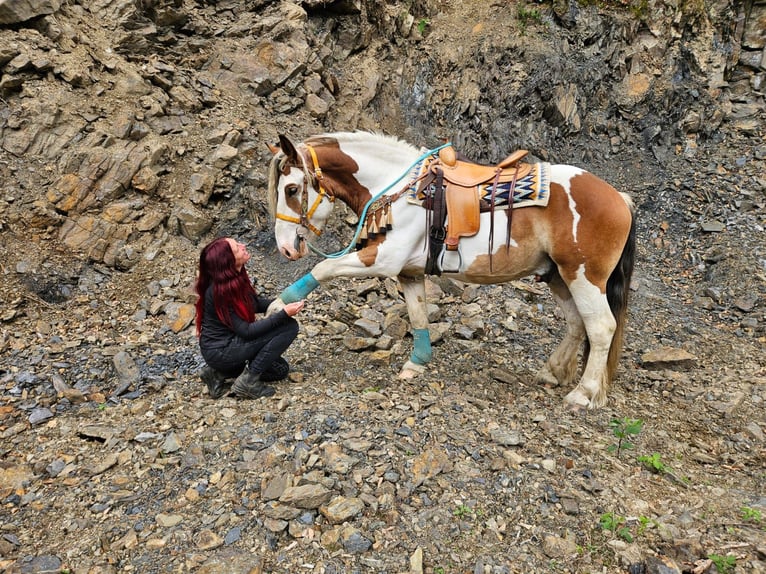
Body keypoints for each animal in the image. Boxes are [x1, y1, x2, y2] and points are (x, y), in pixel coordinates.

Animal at [265, 131, 635, 409]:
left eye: (292, 189)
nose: (286, 248)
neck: (398, 190)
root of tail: (619, 197)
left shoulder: (384, 258)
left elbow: (325, 267)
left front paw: (279, 305)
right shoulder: (409, 273)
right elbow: (418, 315)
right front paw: (416, 363)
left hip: (584, 276)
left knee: (601, 327)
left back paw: (582, 394)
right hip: (558, 276)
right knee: (576, 323)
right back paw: (552, 372)